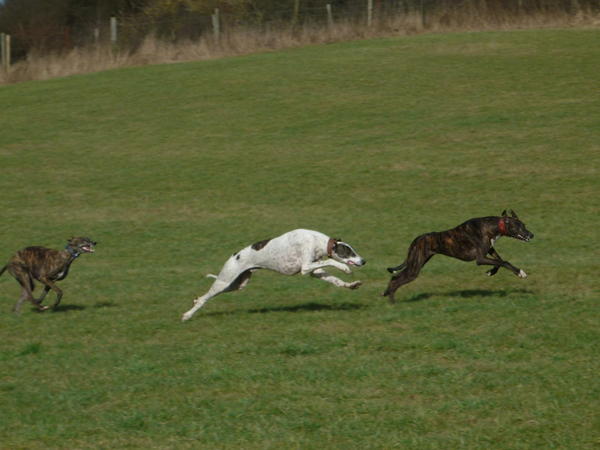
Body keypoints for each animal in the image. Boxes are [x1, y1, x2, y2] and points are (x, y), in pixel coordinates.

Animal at [179, 230, 366, 322]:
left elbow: (335, 280)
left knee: (204, 296)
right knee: (205, 298)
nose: (363, 261)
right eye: (349, 252)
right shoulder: (306, 267)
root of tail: (234, 256)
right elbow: (333, 262)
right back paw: (187, 315)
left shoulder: (315, 271)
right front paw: (345, 268)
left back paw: (193, 303)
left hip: (237, 284)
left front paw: (351, 285)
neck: (316, 240)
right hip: (224, 281)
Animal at [382, 210, 532, 302]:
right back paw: (392, 301)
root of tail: (416, 239)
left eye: (524, 224)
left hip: (417, 262)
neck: (492, 226)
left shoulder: (489, 250)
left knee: (395, 277)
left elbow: (499, 261)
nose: (532, 235)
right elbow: (504, 262)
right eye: (520, 226)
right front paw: (520, 273)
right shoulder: (480, 259)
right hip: (415, 267)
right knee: (396, 279)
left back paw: (387, 295)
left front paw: (491, 272)